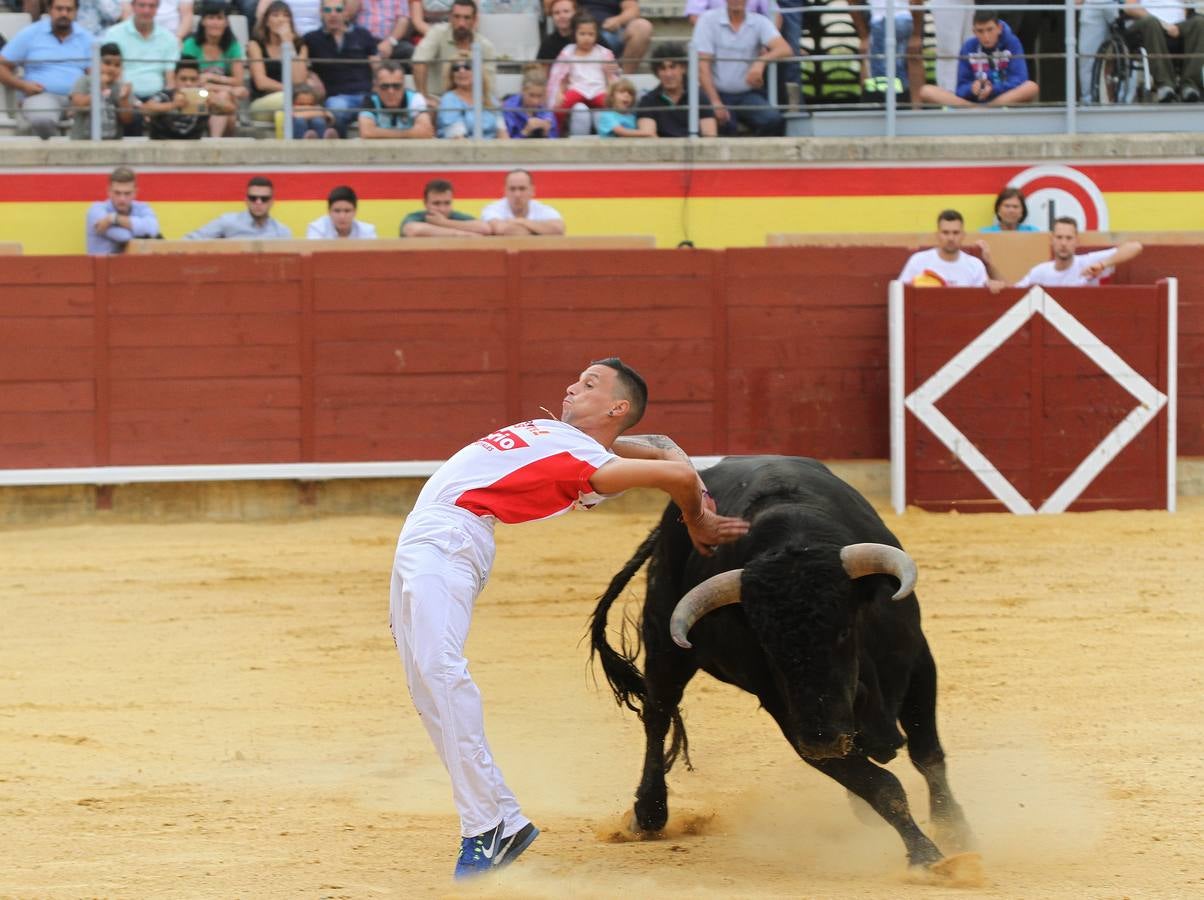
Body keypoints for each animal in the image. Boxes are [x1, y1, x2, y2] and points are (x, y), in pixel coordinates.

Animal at [587, 457, 972, 866]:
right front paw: (927, 857)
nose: (822, 740)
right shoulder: (787, 713)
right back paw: (648, 813)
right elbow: (880, 786)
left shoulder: (919, 663)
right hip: (664, 641)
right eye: (767, 645)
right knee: (658, 714)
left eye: (842, 632)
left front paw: (955, 831)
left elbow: (927, 754)